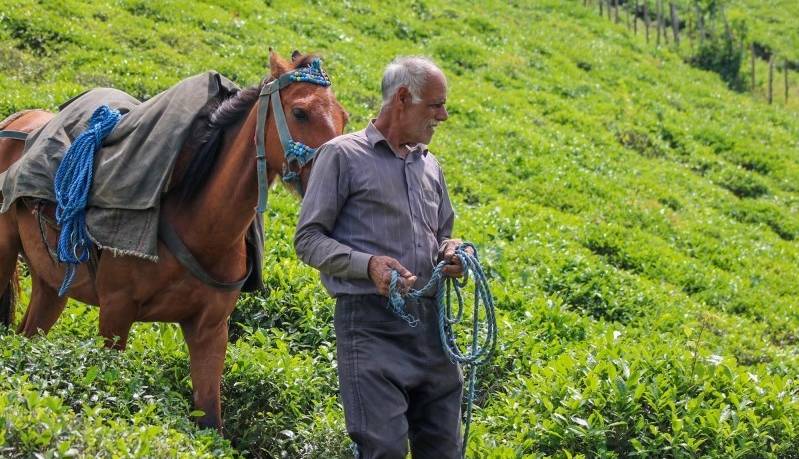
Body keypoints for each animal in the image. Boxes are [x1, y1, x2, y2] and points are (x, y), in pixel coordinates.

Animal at [0, 51, 346, 432]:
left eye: (343, 117)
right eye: (300, 112)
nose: (334, 170)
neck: (201, 227)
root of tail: (20, 119)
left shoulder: (210, 330)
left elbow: (210, 421)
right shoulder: (116, 313)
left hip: (51, 283)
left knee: (29, 335)